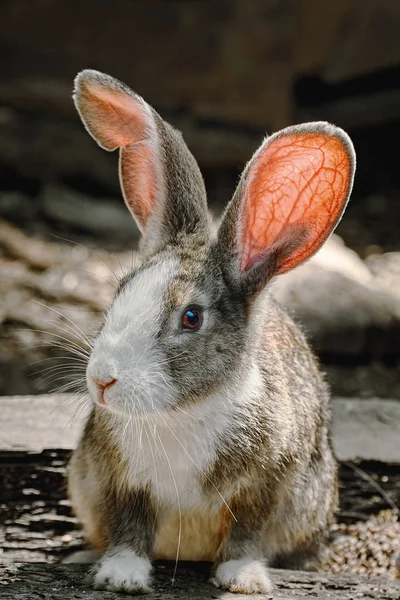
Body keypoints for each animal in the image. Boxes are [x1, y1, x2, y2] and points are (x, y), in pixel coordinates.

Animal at [69, 70, 356, 596]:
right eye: (120, 290)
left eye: (191, 318)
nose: (102, 380)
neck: (182, 412)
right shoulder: (120, 482)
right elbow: (129, 527)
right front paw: (121, 575)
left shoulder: (266, 487)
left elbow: (246, 533)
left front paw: (243, 579)